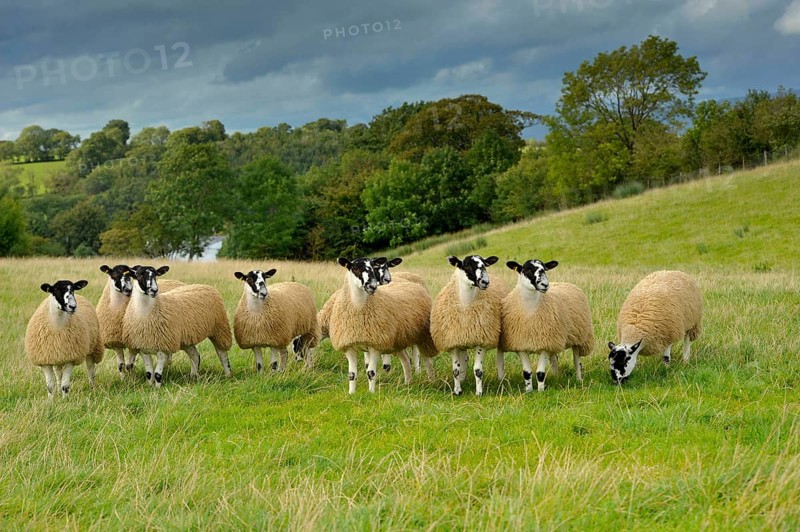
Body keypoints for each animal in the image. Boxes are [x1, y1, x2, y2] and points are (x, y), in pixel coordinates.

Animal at [329, 257, 437, 394]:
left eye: (372, 266)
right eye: (355, 268)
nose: (372, 286)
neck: (358, 309)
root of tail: (414, 285)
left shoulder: (376, 345)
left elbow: (371, 372)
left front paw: (371, 393)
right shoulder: (349, 346)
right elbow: (352, 374)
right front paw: (351, 394)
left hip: (422, 336)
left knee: (425, 359)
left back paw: (431, 381)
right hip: (398, 342)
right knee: (406, 361)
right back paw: (408, 383)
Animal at [430, 255, 508, 396]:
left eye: (485, 265)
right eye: (466, 266)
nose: (485, 282)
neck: (466, 304)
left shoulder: (481, 341)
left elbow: (478, 370)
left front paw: (479, 392)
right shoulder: (453, 342)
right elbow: (455, 370)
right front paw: (457, 390)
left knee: (500, 358)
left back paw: (501, 379)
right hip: (463, 339)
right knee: (464, 358)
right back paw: (462, 378)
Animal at [500, 260, 595, 392]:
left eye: (545, 269)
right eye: (527, 270)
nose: (545, 284)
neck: (530, 313)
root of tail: (564, 283)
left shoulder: (545, 344)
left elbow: (540, 373)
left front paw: (540, 391)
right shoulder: (521, 345)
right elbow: (526, 372)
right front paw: (529, 391)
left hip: (580, 337)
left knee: (577, 361)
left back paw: (579, 379)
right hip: (554, 340)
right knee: (554, 360)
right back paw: (555, 377)